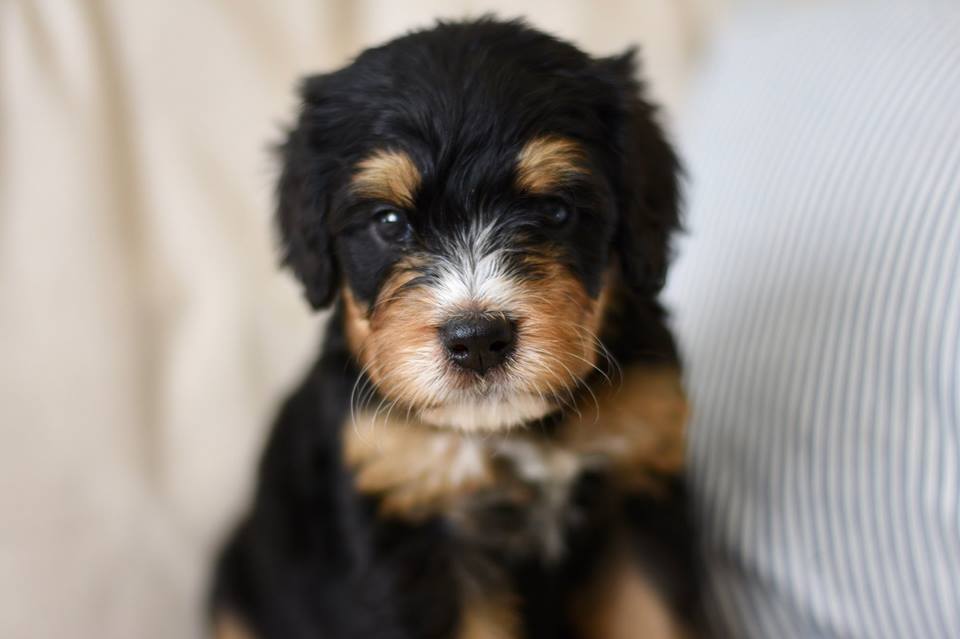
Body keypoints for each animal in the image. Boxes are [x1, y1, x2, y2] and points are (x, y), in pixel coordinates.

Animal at [214, 17, 700, 636]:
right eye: (389, 222)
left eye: (556, 212)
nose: (477, 340)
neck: (518, 431)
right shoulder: (414, 515)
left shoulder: (637, 482)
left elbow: (651, 615)